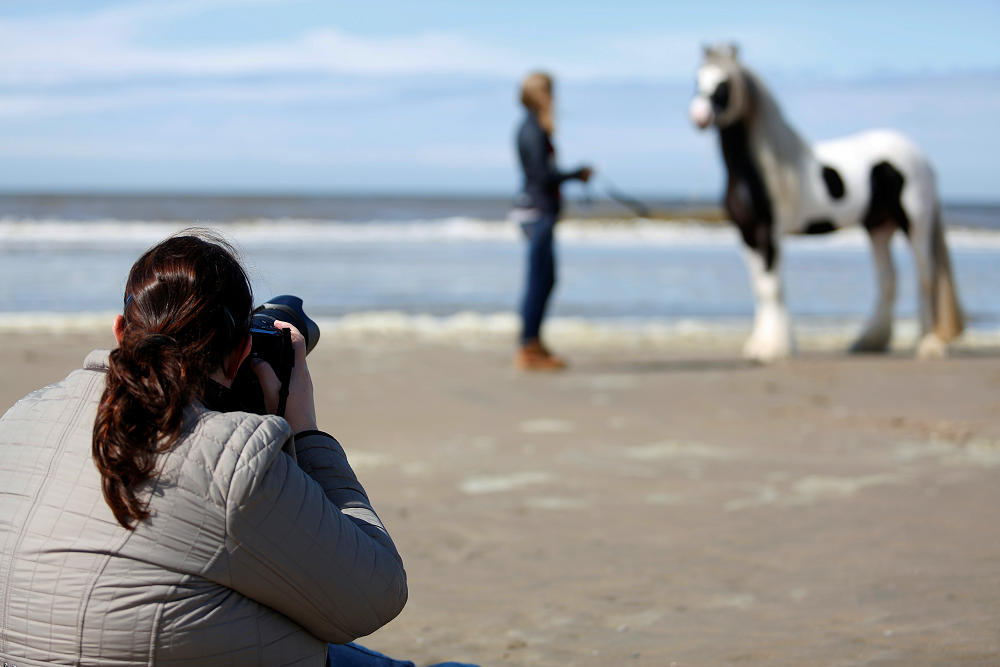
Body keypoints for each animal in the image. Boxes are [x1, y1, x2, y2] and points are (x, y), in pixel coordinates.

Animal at [688, 46, 960, 362]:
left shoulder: (768, 232)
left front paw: (773, 348)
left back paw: (929, 343)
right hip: (879, 227)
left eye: (724, 85)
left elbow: (771, 286)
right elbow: (760, 287)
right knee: (888, 280)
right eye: (697, 80)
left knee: (926, 278)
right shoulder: (747, 233)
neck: (756, 169)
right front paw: (759, 344)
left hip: (915, 224)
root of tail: (921, 156)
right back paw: (869, 342)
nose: (699, 116)